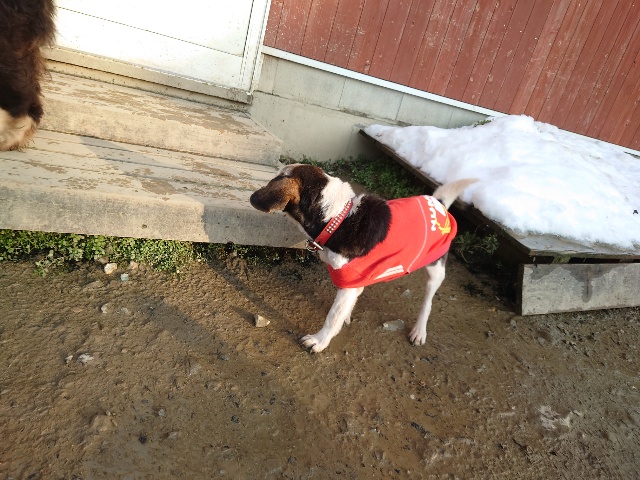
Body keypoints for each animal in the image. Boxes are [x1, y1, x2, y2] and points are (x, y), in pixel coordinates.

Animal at [250, 163, 477, 352]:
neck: (339, 219)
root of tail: (438, 203)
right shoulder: (354, 280)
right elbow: (346, 305)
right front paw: (344, 317)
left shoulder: (348, 284)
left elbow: (332, 317)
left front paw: (319, 341)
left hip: (435, 269)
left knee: (428, 301)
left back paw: (419, 330)